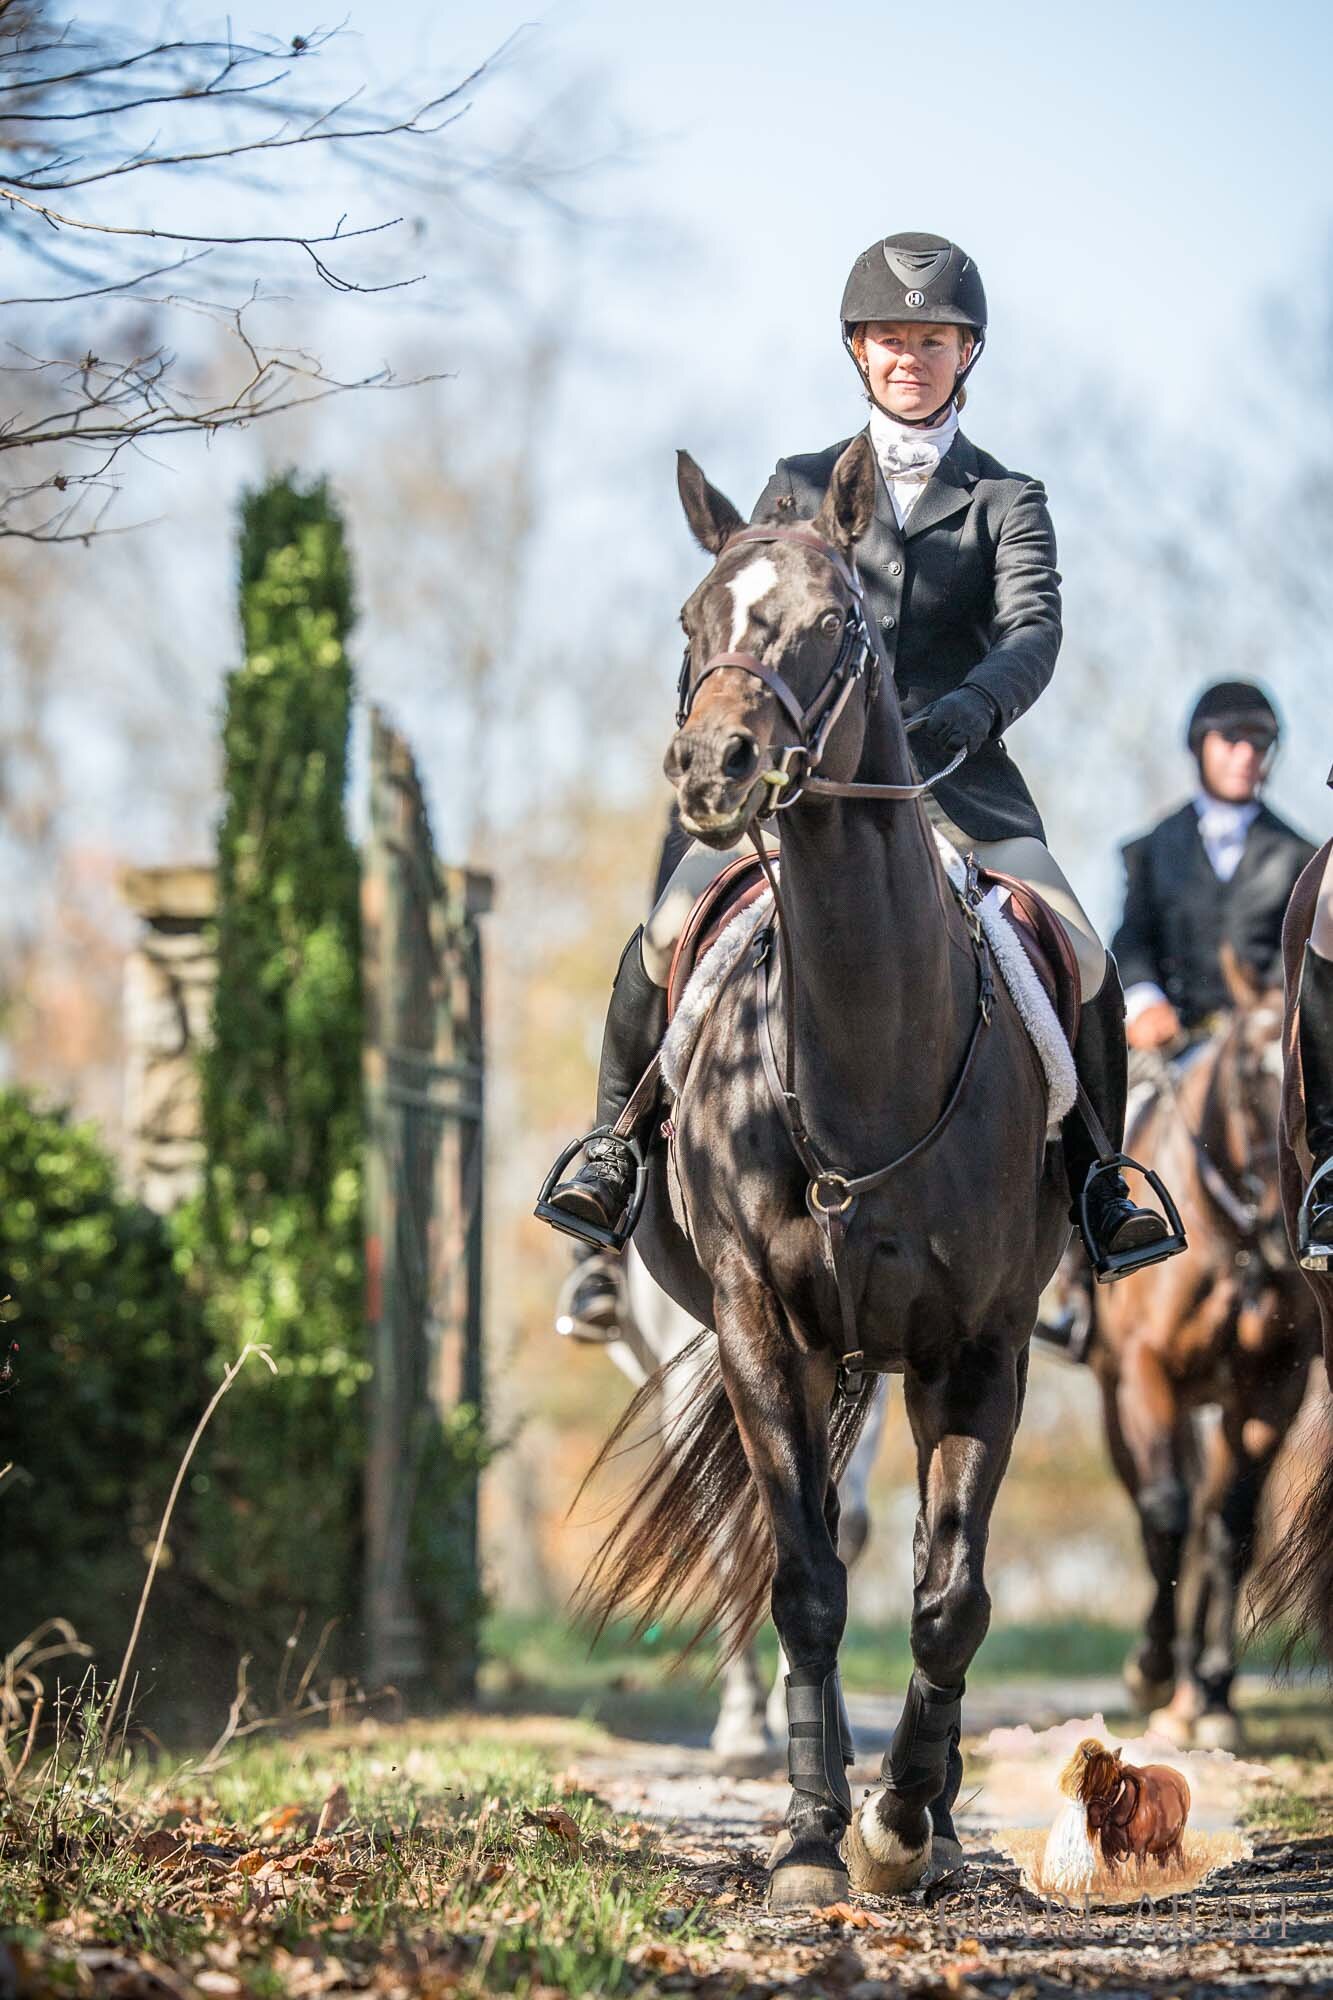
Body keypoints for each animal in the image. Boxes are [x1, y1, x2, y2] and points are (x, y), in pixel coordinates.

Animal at [576, 438, 1064, 1904]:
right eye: (692, 620)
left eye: (837, 623)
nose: (713, 766)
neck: (864, 1039)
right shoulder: (747, 1328)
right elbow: (794, 1574)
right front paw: (805, 1830)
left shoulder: (980, 1342)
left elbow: (948, 1595)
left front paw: (904, 1821)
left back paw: (932, 1810)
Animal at [1088, 956, 1312, 1752]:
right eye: (1249, 1070)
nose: (1283, 1224)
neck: (1237, 1241)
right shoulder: (1145, 1375)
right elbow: (1165, 1515)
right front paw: (1151, 1669)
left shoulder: (1273, 1388)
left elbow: (1233, 1529)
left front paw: (1212, 1688)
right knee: (1160, 1507)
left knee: (1214, 1515)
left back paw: (1197, 1695)